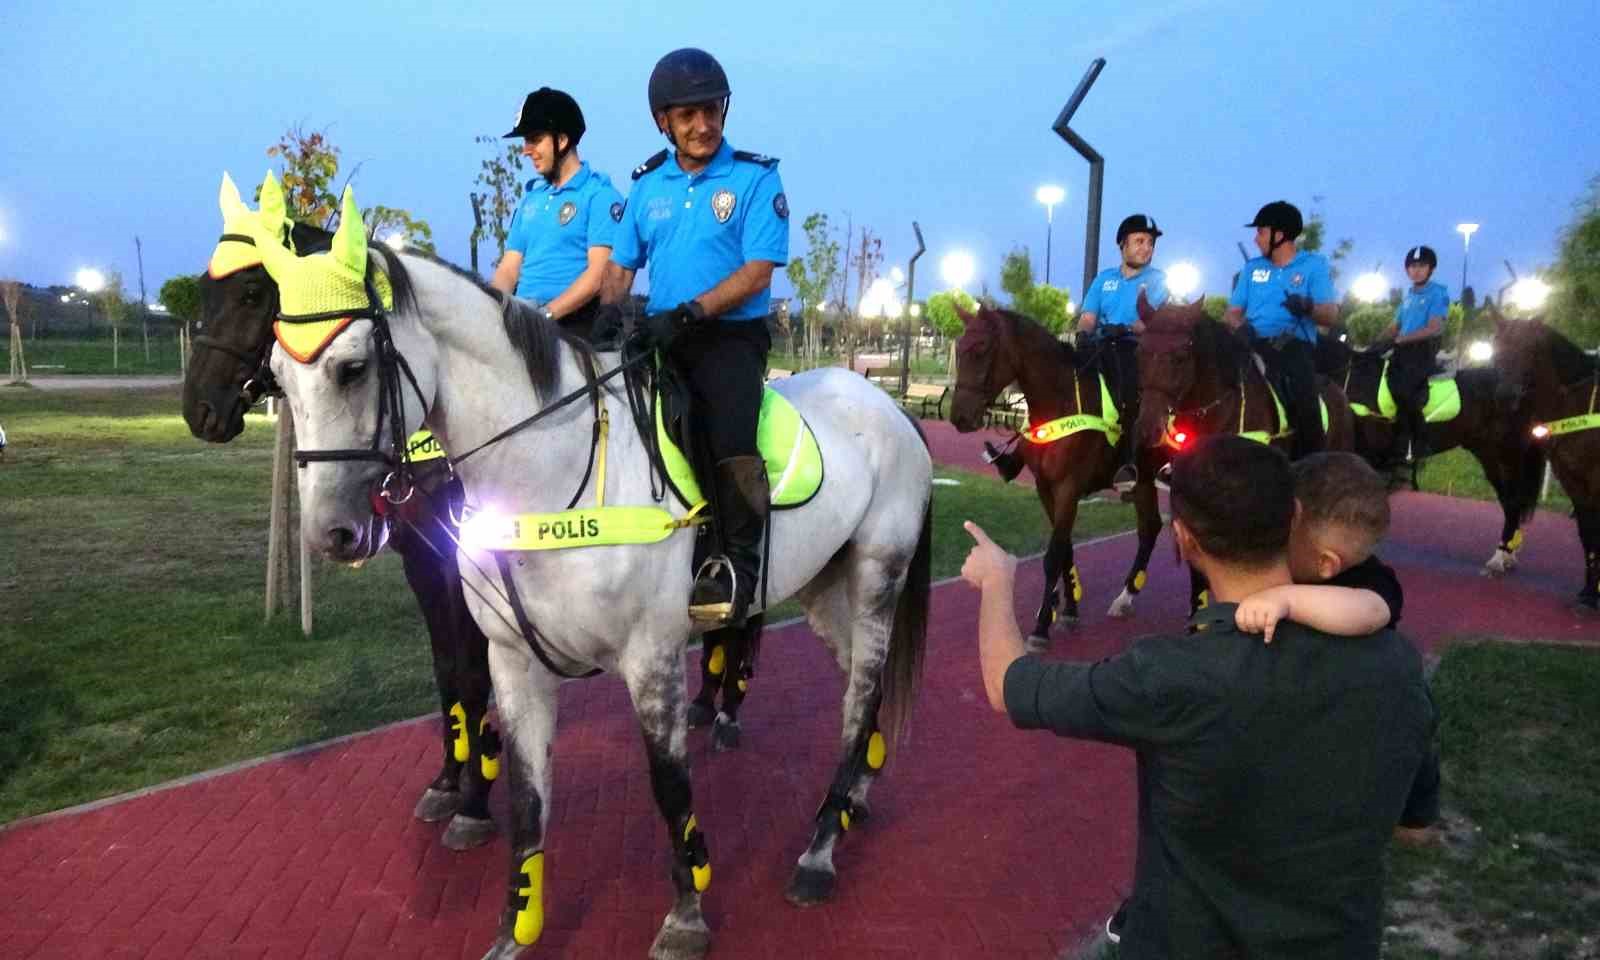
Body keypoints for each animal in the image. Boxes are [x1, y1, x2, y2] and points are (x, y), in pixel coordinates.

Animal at [243, 184, 934, 953]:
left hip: (876, 578)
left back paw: (818, 849)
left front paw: (686, 913)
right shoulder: (513, 661)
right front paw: (516, 930)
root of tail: (892, 409)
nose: (330, 533)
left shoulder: (651, 657)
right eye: (278, 378)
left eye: (353, 367)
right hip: (822, 590)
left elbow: (668, 786)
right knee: (865, 690)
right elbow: (527, 799)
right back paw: (854, 801)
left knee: (859, 696)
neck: (551, 468)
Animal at [947, 304, 1164, 649]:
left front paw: (1040, 627)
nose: (960, 417)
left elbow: (1053, 554)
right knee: (1150, 527)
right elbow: (1065, 550)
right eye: (959, 346)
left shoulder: (1068, 488)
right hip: (1144, 478)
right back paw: (1126, 596)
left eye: (981, 349)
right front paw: (1069, 610)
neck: (1060, 400)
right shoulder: (1046, 488)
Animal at [1484, 312, 1600, 608]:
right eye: (1496, 346)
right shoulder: (1572, 480)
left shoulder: (1594, 480)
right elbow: (1588, 532)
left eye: (1531, 349)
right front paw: (1588, 593)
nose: (1506, 396)